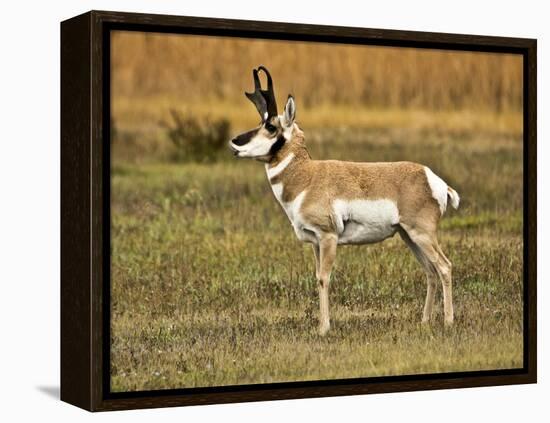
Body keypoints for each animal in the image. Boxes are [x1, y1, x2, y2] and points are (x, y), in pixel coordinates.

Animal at [229, 66, 462, 336]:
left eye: (270, 126)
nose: (234, 142)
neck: (307, 176)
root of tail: (433, 179)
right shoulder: (315, 242)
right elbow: (317, 277)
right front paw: (321, 325)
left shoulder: (328, 237)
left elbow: (324, 278)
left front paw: (324, 328)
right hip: (408, 236)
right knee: (430, 271)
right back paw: (424, 322)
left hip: (421, 234)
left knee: (444, 267)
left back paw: (448, 322)